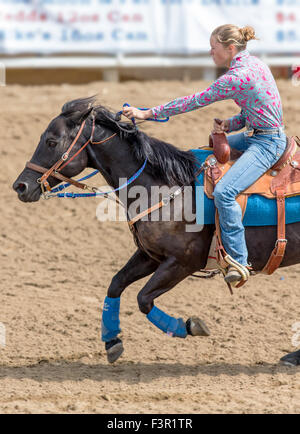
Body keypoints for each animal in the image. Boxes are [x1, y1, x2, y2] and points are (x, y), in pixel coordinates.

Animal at [12, 97, 300, 366]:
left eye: (52, 141)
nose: (20, 186)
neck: (166, 187)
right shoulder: (150, 255)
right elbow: (115, 285)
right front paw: (112, 341)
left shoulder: (183, 262)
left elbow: (143, 299)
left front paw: (189, 326)